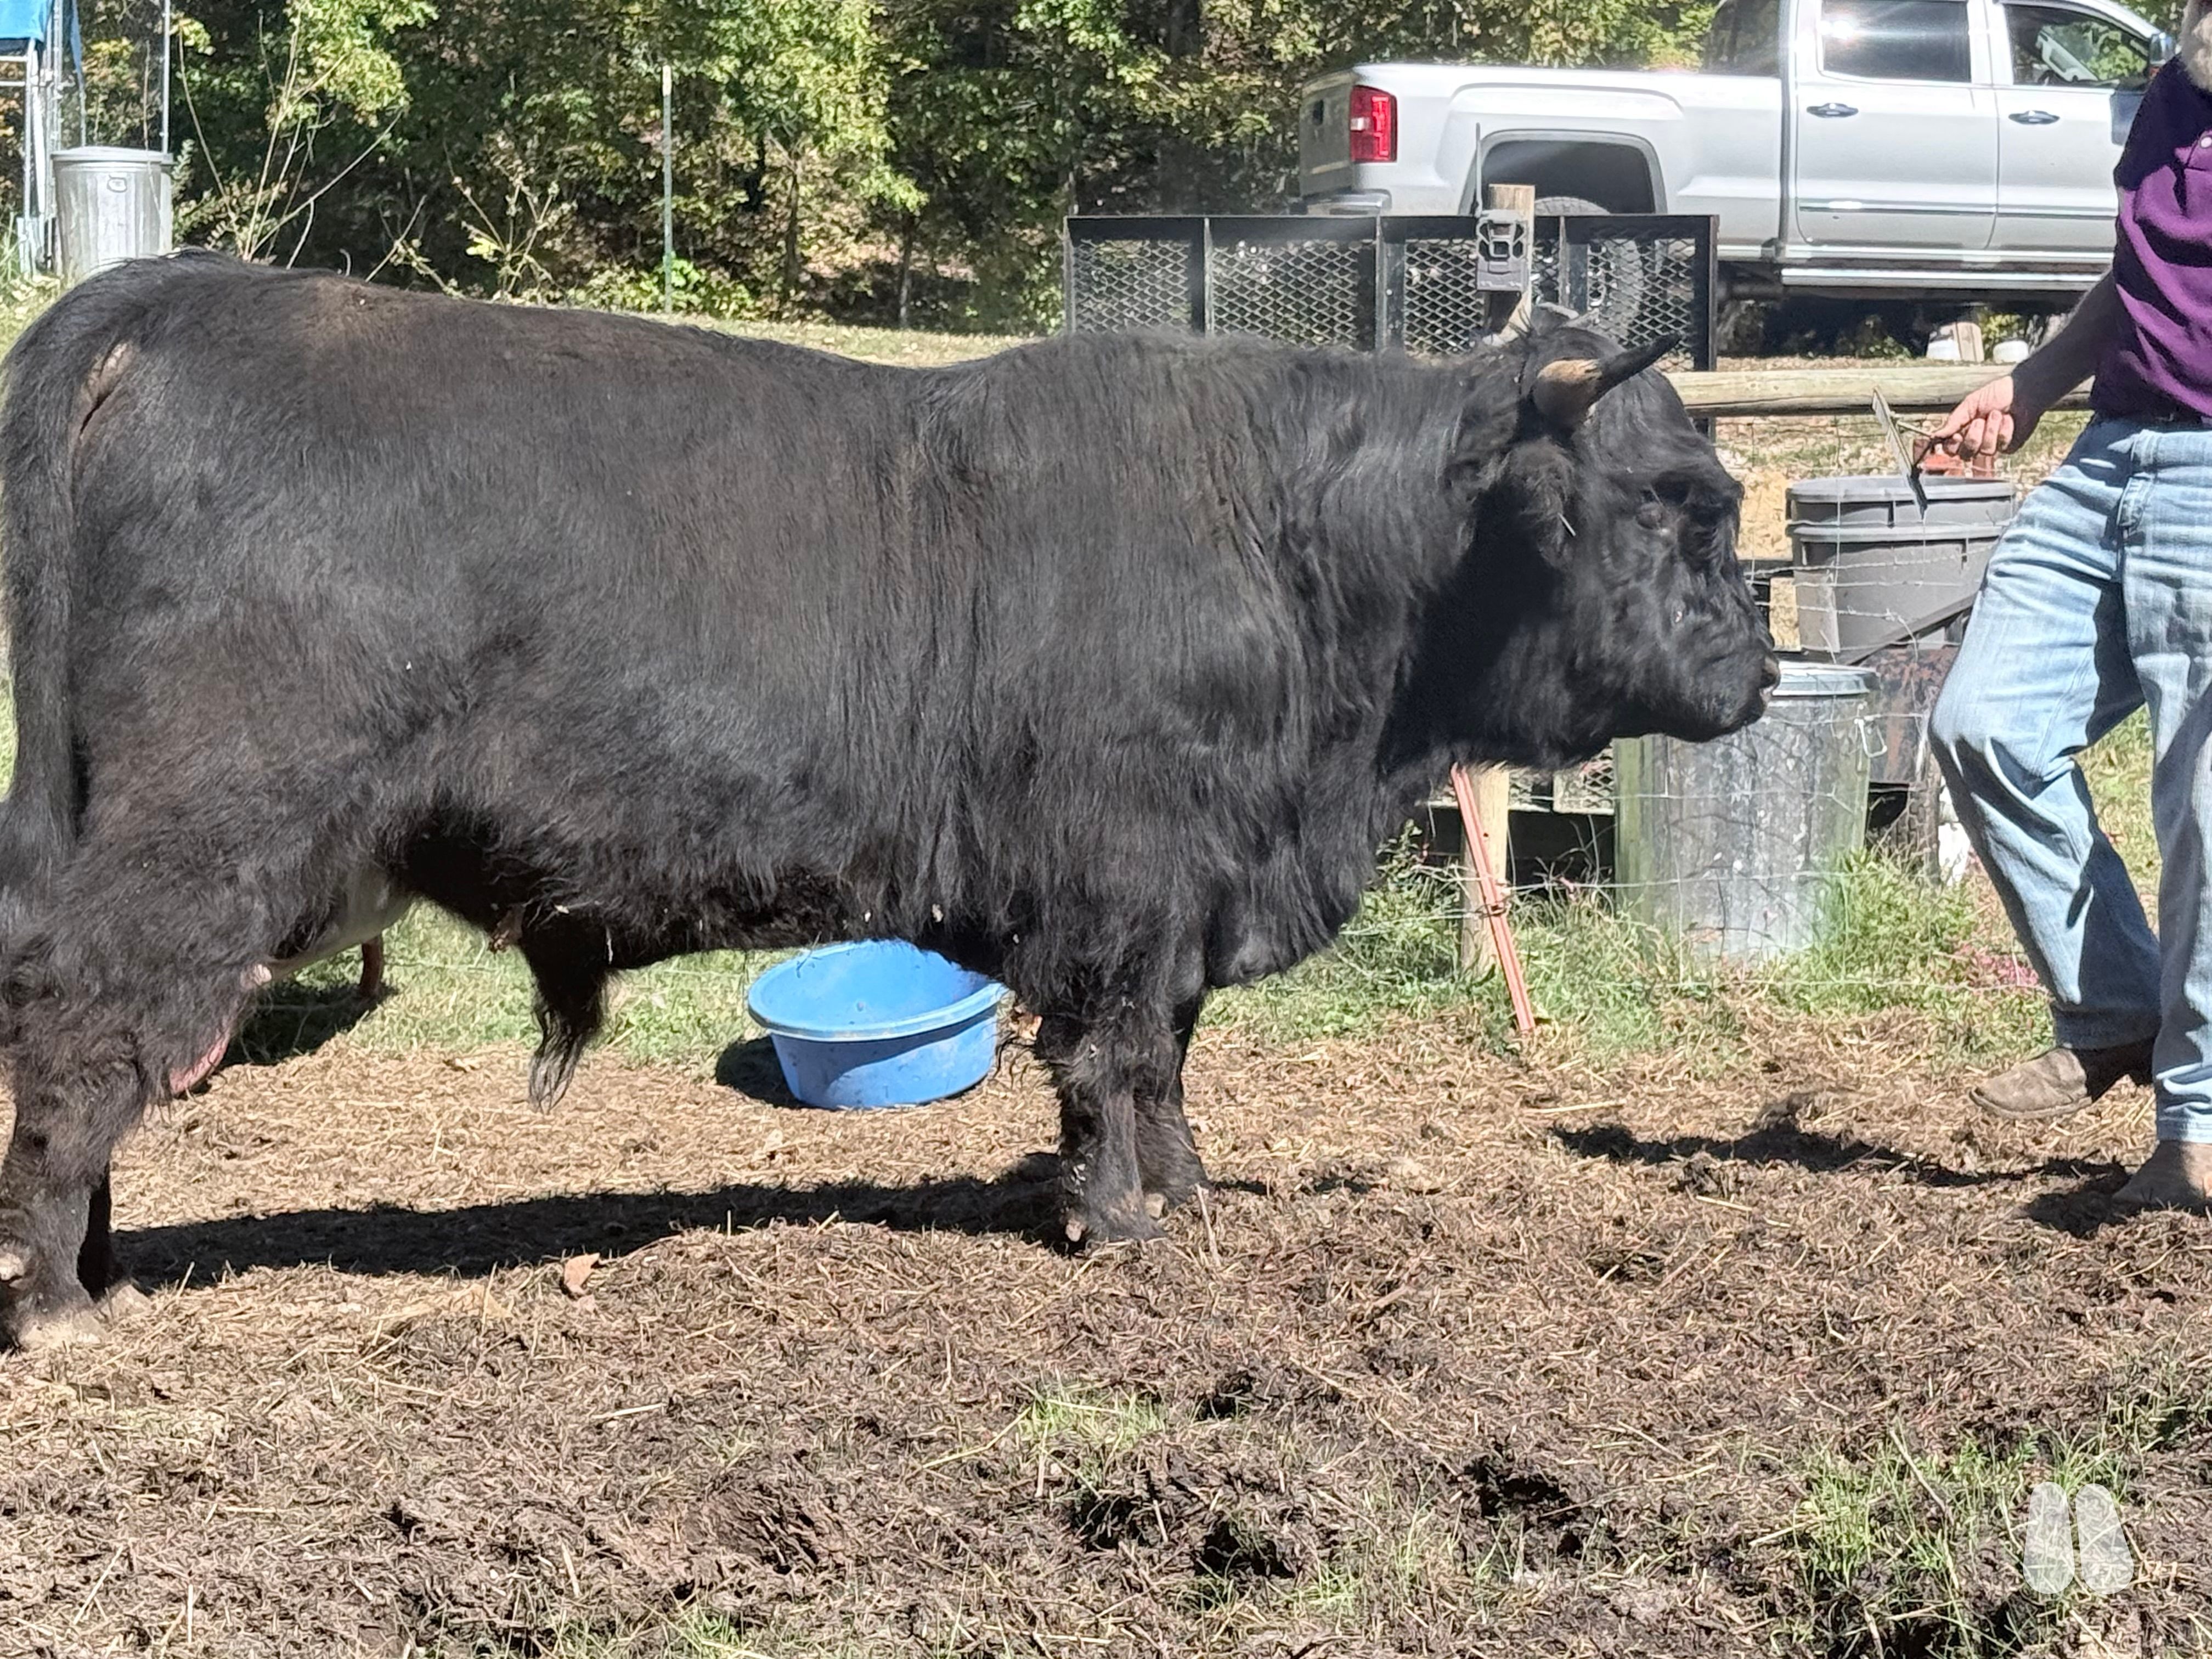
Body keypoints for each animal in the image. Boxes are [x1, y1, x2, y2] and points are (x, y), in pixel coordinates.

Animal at [0, 253, 1774, 1348]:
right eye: (1672, 503)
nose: (1758, 660)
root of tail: (192, 294)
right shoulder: (1124, 885)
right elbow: (1112, 1054)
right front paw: (1120, 1221)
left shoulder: (1182, 896)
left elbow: (1166, 1057)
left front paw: (1183, 1192)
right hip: (196, 845)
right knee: (79, 1035)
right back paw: (64, 1301)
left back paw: (92, 1271)